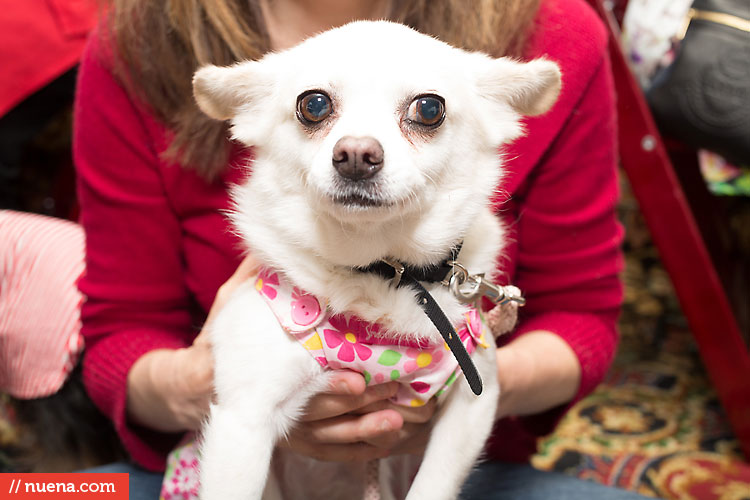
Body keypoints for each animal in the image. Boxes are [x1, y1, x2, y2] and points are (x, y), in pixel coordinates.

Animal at [191, 20, 560, 500]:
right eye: (313, 104)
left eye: (428, 108)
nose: (355, 154)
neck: (386, 272)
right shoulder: (242, 424)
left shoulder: (472, 405)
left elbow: (432, 487)